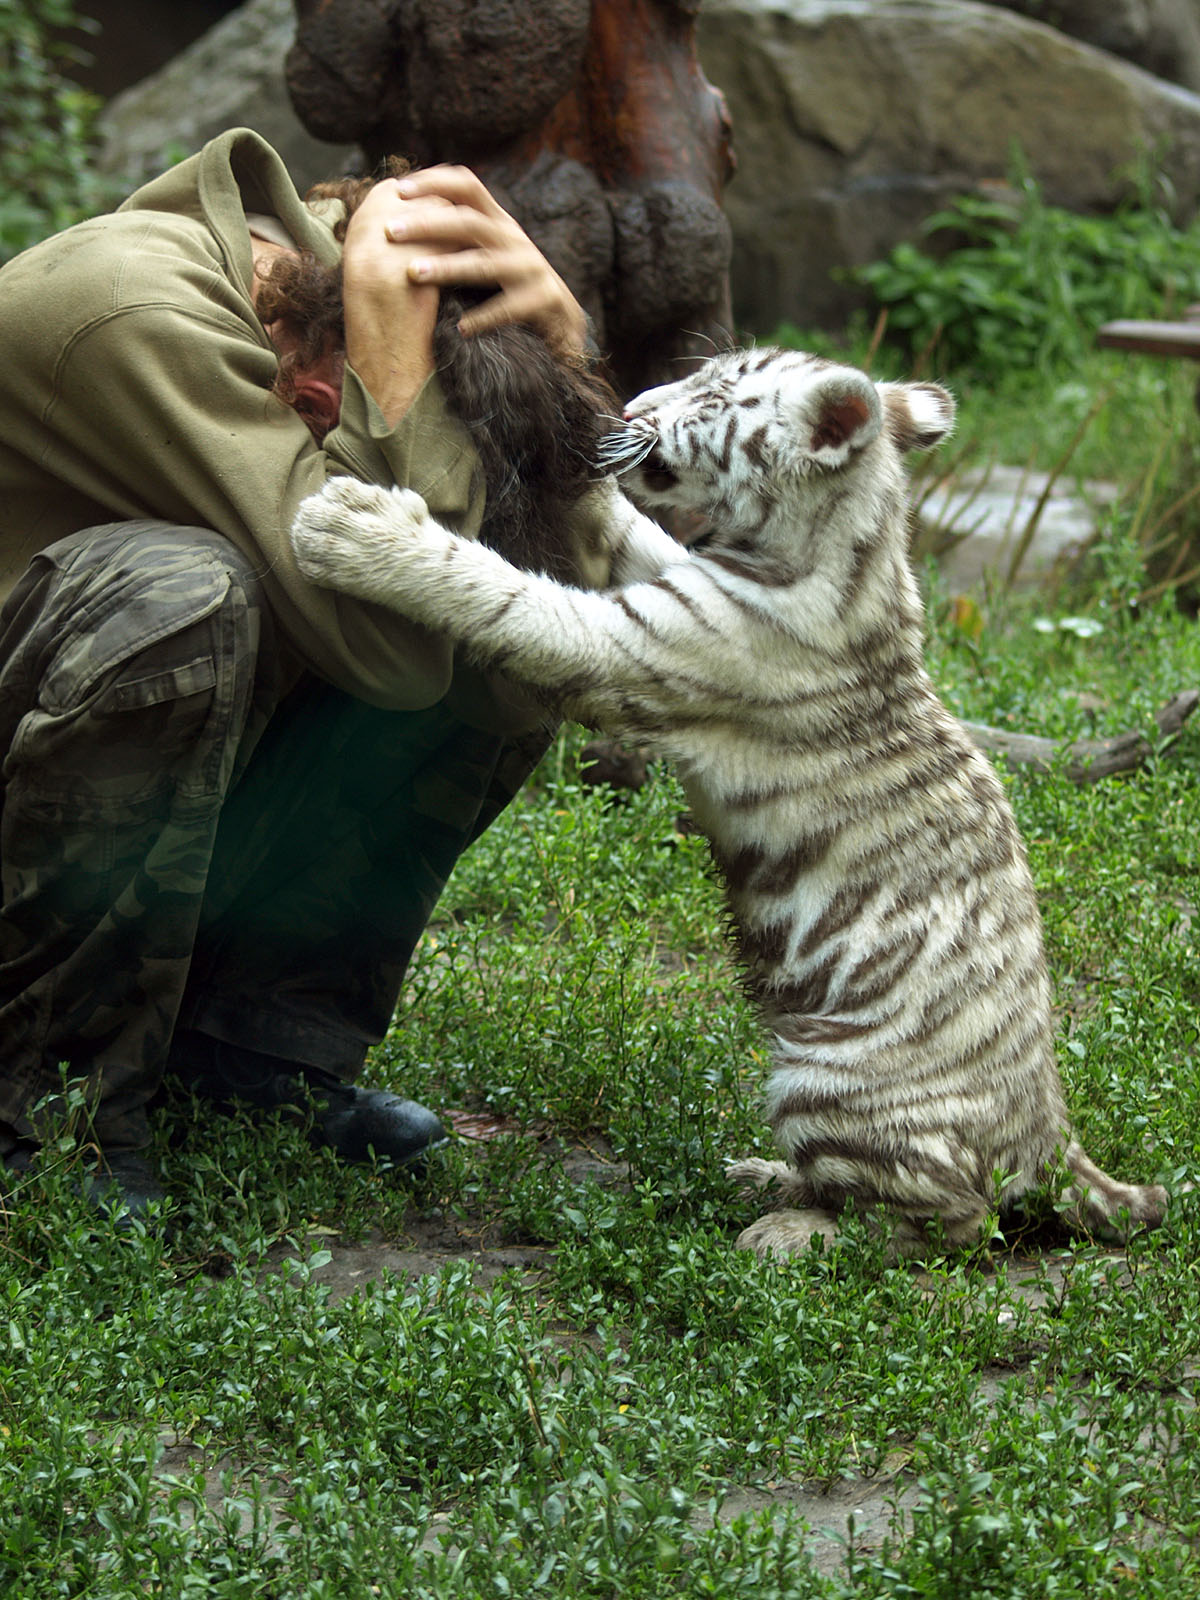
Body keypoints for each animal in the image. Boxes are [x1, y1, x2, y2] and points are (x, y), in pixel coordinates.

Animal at [289, 344, 1168, 1262]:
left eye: (712, 396)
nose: (630, 407)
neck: (835, 540)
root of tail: (1052, 1141)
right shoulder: (670, 575)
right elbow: (627, 528)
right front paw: (555, 424)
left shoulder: (639, 642)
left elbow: (502, 591)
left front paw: (353, 529)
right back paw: (763, 1177)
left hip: (827, 1082)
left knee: (951, 1222)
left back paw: (789, 1232)